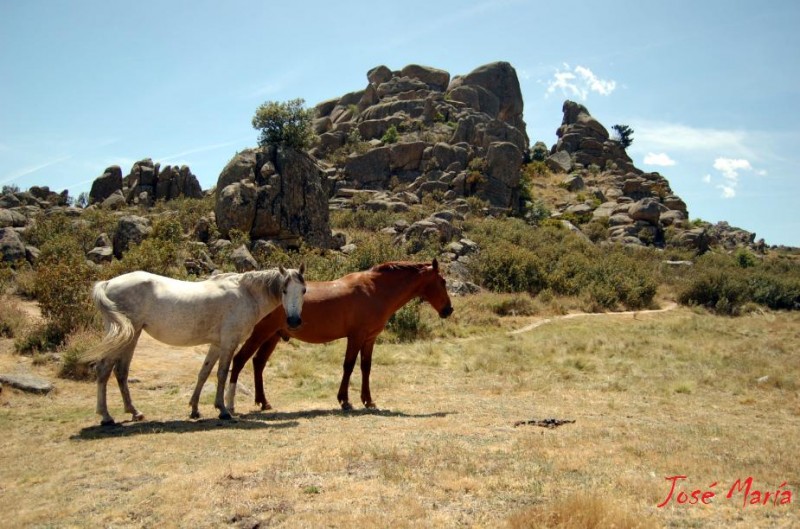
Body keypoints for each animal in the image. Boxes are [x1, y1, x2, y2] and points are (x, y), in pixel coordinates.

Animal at [83, 266, 304, 422]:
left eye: (303, 290)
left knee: (121, 372)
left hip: (132, 335)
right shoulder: (229, 343)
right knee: (104, 370)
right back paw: (106, 416)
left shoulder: (216, 345)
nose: (293, 321)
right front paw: (223, 410)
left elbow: (204, 373)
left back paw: (134, 412)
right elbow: (222, 374)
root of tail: (108, 283)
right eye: (284, 290)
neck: (246, 294)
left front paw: (195, 409)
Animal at [227, 258, 450, 410]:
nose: (449, 310)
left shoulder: (369, 338)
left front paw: (368, 400)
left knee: (258, 363)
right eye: (443, 281)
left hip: (272, 337)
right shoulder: (356, 336)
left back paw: (263, 402)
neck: (375, 290)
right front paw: (344, 400)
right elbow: (349, 366)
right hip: (260, 333)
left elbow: (366, 367)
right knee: (239, 360)